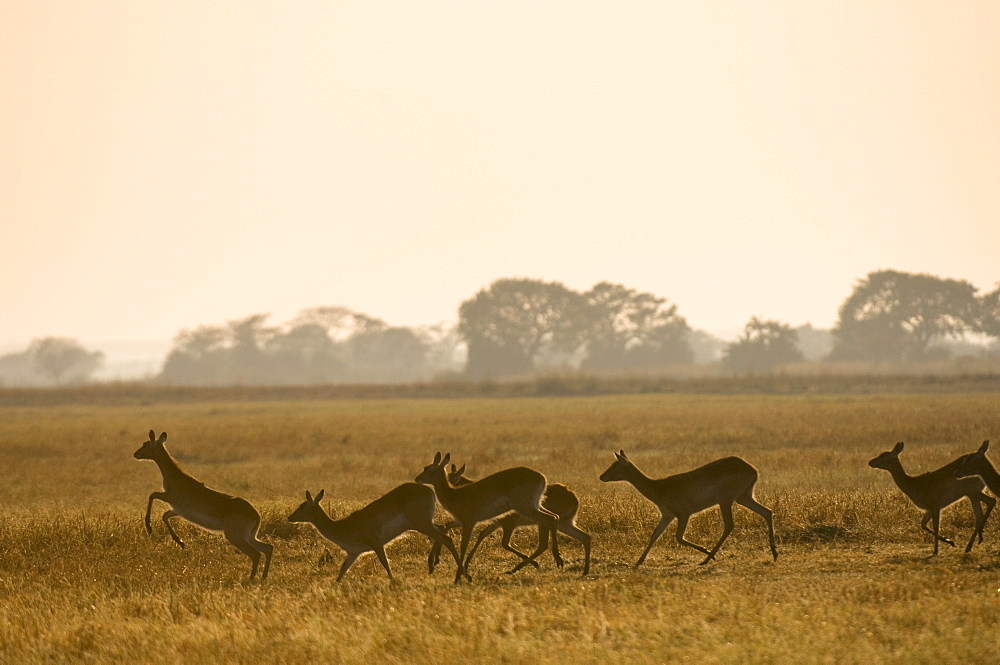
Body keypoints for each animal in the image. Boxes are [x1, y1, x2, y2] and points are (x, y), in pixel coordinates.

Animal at [286, 482, 464, 580]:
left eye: (303, 506)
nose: (290, 517)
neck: (344, 526)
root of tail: (429, 490)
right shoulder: (353, 553)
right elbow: (342, 571)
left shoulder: (376, 543)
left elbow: (385, 563)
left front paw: (393, 581)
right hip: (422, 524)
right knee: (442, 531)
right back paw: (434, 566)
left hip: (421, 524)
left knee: (446, 538)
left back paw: (461, 574)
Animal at [412, 452, 564, 576]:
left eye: (427, 468)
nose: (417, 479)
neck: (454, 494)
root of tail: (542, 477)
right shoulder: (461, 521)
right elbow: (446, 526)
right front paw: (434, 561)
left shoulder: (468, 522)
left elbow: (462, 542)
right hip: (535, 506)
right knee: (554, 517)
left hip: (526, 508)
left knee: (550, 519)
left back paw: (556, 560)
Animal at [432, 462, 592, 576]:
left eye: (453, 478)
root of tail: (574, 497)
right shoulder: (495, 523)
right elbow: (481, 536)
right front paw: (464, 564)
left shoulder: (508, 524)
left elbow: (503, 543)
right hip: (565, 524)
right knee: (584, 537)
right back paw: (583, 571)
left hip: (545, 523)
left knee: (543, 543)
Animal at [596, 446, 776, 564]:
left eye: (615, 465)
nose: (601, 477)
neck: (659, 488)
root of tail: (753, 469)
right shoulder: (667, 515)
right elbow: (654, 535)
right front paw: (638, 562)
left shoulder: (683, 513)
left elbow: (678, 537)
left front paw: (706, 551)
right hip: (743, 497)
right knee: (767, 512)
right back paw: (775, 554)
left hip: (727, 500)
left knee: (729, 525)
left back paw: (707, 559)